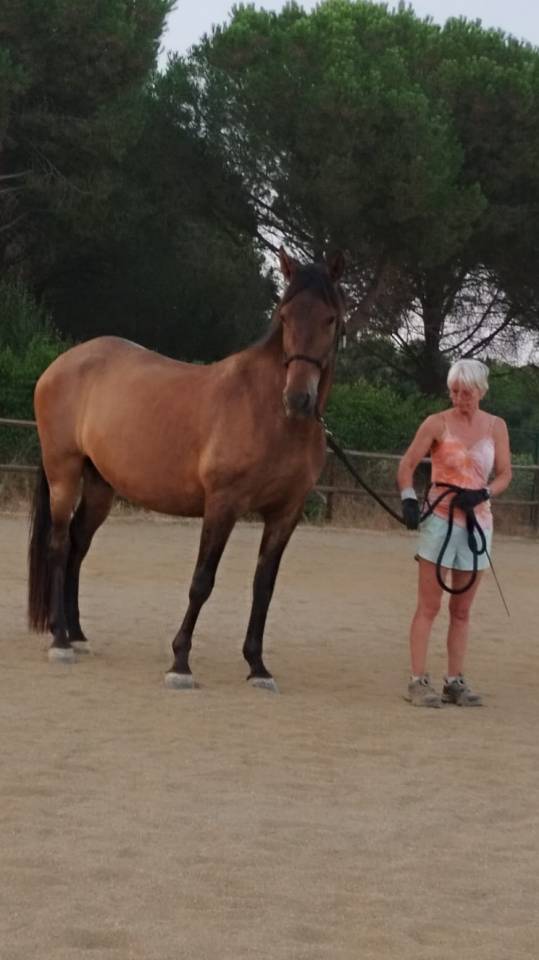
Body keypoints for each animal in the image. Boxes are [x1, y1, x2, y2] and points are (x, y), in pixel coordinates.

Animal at [28, 248, 346, 691]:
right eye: (284, 317)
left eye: (329, 319)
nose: (299, 398)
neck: (270, 414)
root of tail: (61, 364)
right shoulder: (223, 505)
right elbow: (202, 582)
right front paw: (180, 663)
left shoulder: (286, 514)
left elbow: (263, 587)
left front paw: (257, 666)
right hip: (64, 474)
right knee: (58, 546)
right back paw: (59, 640)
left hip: (100, 487)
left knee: (77, 545)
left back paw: (76, 634)